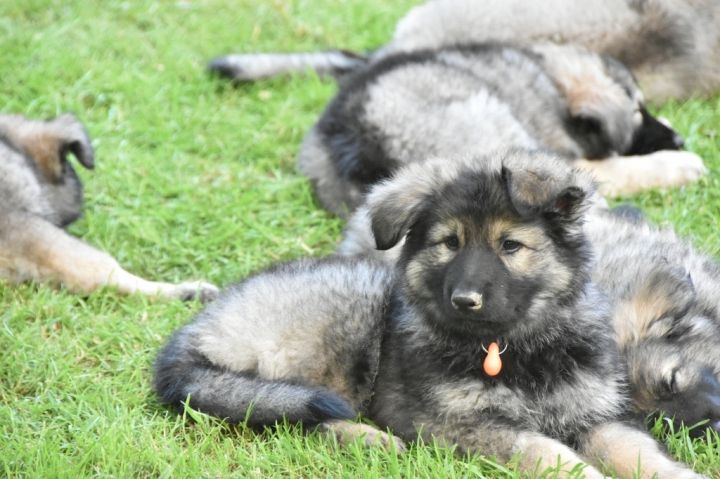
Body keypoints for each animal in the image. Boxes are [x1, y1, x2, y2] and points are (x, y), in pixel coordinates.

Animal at [154, 151, 703, 478]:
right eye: (449, 243)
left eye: (510, 246)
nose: (464, 299)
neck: (515, 346)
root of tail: (190, 336)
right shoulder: (459, 423)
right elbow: (549, 454)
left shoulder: (595, 412)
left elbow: (637, 451)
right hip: (350, 315)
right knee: (295, 413)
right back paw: (371, 440)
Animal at [296, 43, 703, 217]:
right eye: (636, 111)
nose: (680, 139)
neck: (549, 80)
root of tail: (359, 141)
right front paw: (675, 159)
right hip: (493, 124)